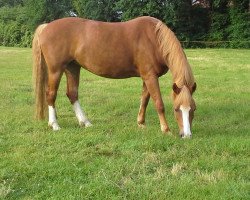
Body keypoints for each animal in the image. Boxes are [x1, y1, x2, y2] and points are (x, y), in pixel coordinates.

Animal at [32, 16, 196, 138]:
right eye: (176, 109)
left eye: (193, 109)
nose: (187, 135)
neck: (154, 39)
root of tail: (46, 27)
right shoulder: (150, 76)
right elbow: (159, 103)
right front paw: (166, 130)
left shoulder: (147, 77)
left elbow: (144, 100)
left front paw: (141, 123)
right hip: (56, 70)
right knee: (51, 94)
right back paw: (55, 125)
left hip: (72, 68)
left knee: (72, 94)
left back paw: (85, 122)